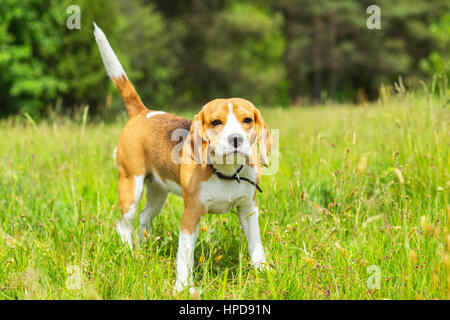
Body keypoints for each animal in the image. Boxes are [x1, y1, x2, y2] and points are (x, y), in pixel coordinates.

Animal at [93, 23, 272, 292]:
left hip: (158, 192)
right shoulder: (191, 214)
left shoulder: (248, 209)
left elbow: (256, 245)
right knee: (124, 225)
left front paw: (263, 273)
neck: (225, 172)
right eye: (216, 122)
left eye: (247, 120)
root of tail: (143, 113)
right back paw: (131, 255)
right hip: (130, 185)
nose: (236, 140)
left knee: (144, 218)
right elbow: (184, 255)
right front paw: (182, 287)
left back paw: (145, 251)